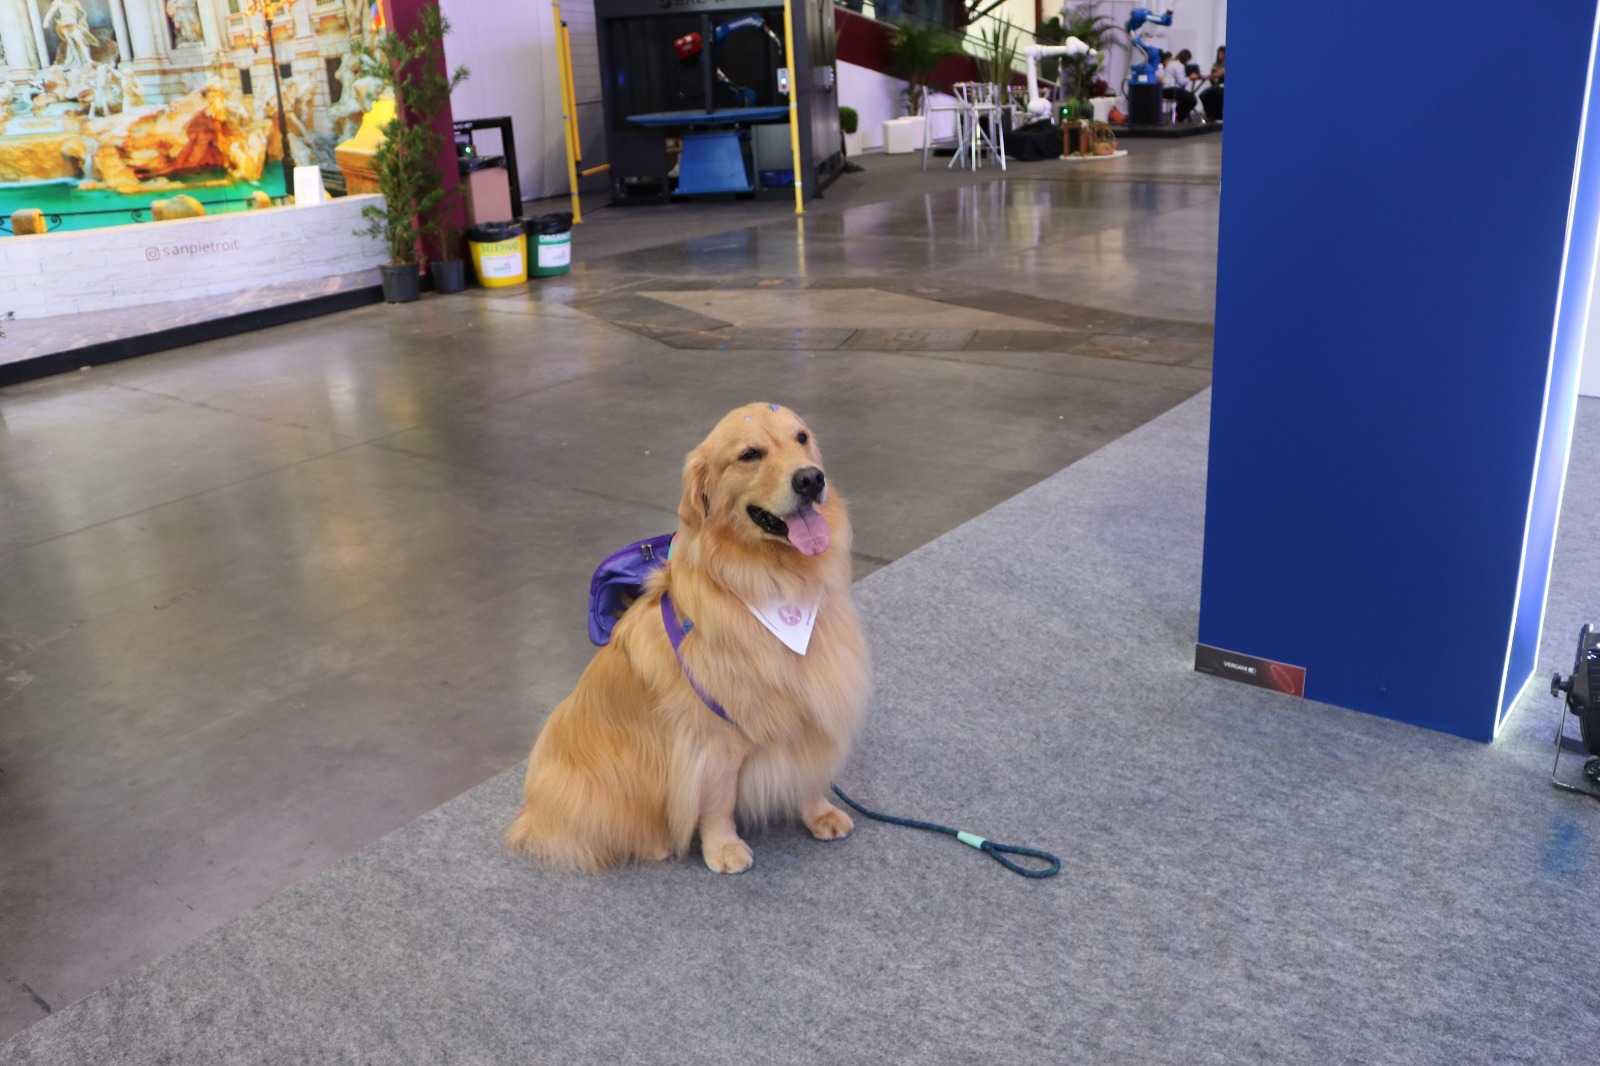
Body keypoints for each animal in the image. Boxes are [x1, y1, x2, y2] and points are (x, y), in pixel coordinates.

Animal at [505, 403, 870, 870]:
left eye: (802, 438)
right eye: (749, 454)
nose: (810, 479)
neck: (773, 583)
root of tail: (530, 813)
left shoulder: (810, 706)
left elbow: (810, 771)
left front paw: (819, 812)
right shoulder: (710, 738)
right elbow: (717, 800)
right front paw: (724, 848)